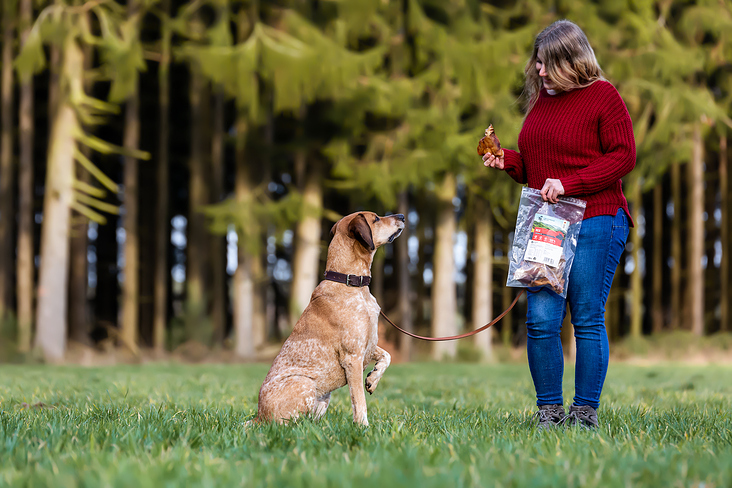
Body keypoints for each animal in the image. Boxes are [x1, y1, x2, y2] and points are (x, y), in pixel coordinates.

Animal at [253, 212, 406, 426]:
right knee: (290, 425)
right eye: (376, 218)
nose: (402, 215)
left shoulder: (368, 344)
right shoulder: (353, 356)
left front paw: (373, 379)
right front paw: (363, 427)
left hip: (323, 399)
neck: (353, 284)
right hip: (305, 384)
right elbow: (359, 400)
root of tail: (259, 417)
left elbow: (387, 355)